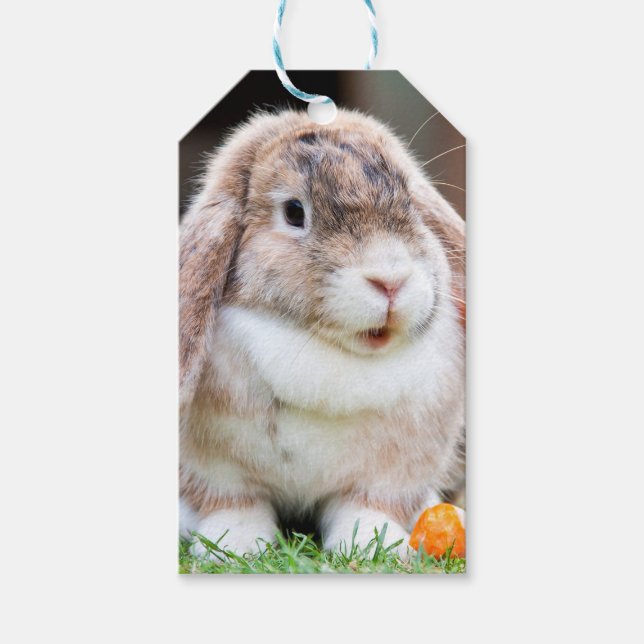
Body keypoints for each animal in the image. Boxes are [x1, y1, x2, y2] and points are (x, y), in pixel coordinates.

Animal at [179, 108, 465, 559]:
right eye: (294, 212)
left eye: (411, 204)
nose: (390, 281)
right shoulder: (218, 473)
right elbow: (234, 505)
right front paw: (237, 546)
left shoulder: (389, 474)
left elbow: (366, 507)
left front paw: (375, 546)